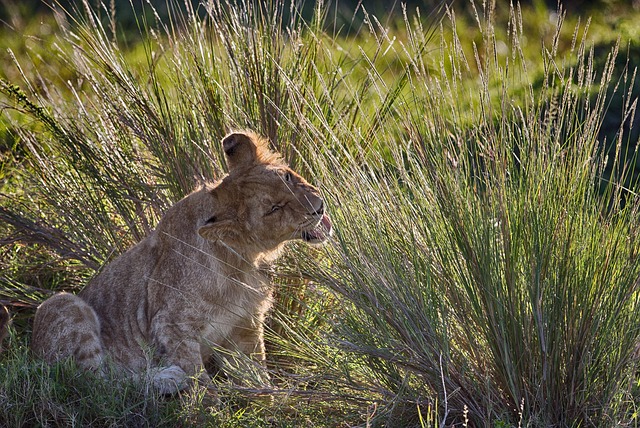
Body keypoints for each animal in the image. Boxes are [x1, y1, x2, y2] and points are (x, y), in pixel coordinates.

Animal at [24, 130, 332, 394]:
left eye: (288, 177)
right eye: (274, 209)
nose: (318, 207)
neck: (244, 259)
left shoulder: (245, 323)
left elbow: (257, 375)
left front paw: (275, 405)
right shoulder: (172, 327)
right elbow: (201, 386)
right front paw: (210, 410)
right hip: (62, 303)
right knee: (96, 385)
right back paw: (168, 379)